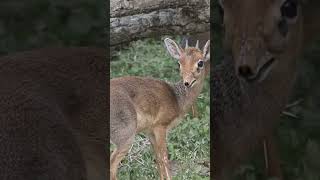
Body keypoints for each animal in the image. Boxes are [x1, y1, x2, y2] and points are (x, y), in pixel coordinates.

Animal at [110, 37, 210, 179]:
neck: (177, 99)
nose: (187, 82)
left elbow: (158, 160)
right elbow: (164, 158)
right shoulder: (160, 127)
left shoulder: (150, 132)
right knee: (112, 164)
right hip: (125, 136)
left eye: (200, 63)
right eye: (179, 63)